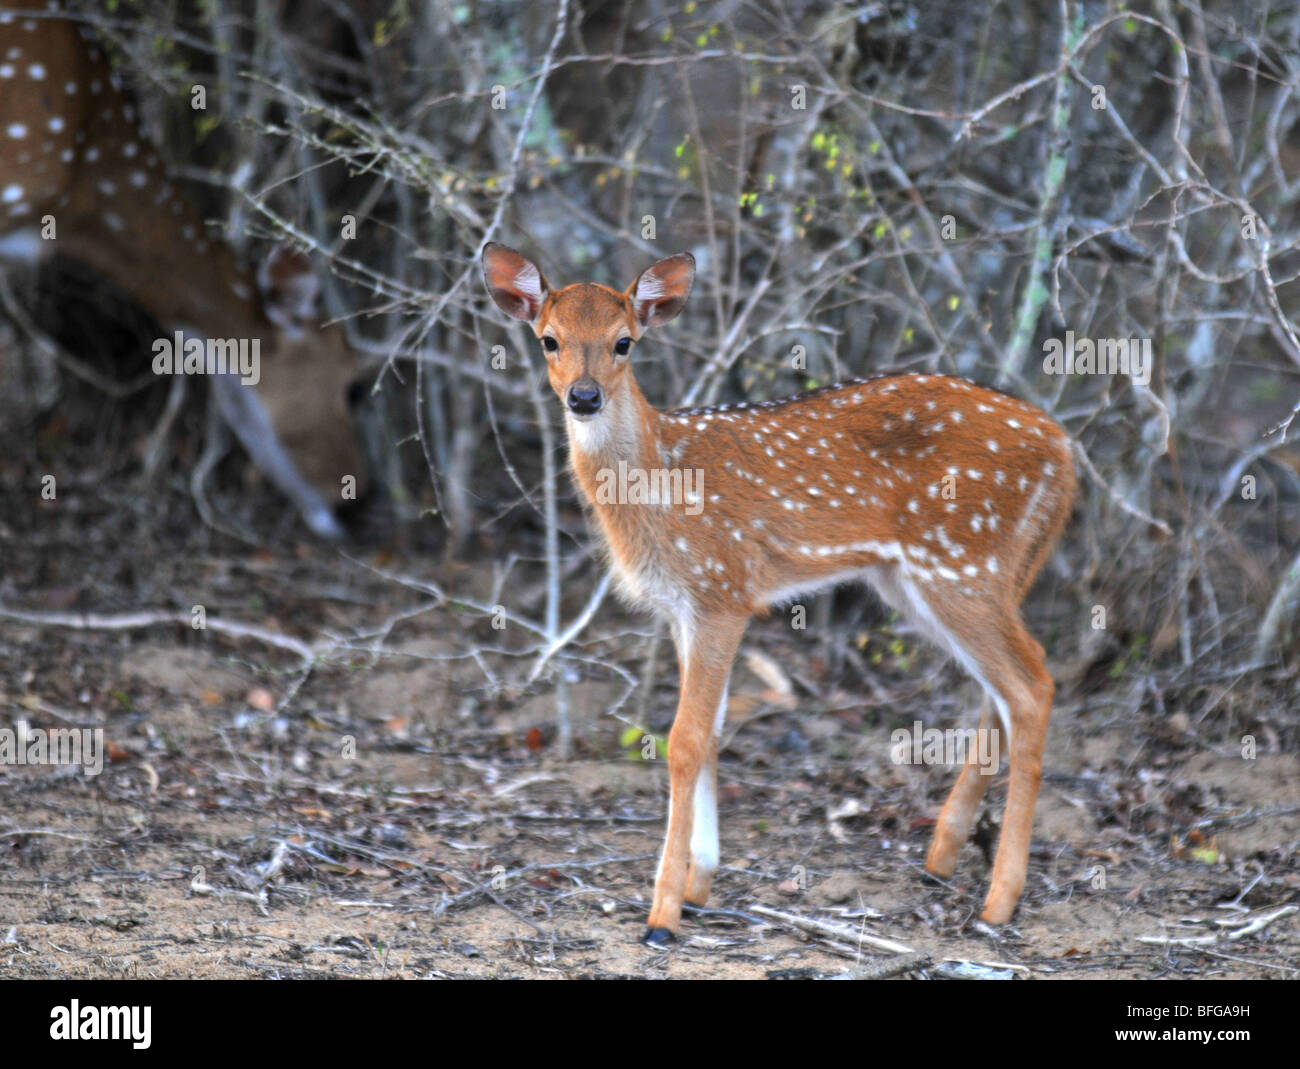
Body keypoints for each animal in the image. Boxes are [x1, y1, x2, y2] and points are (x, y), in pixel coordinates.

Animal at [486, 244, 1076, 946]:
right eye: (548, 340)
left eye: (623, 341)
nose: (584, 396)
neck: (660, 482)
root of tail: (1066, 450)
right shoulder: (685, 609)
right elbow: (712, 732)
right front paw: (699, 885)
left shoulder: (722, 589)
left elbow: (685, 740)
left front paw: (662, 916)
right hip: (927, 579)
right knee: (1002, 691)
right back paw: (939, 862)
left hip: (962, 564)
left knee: (1033, 684)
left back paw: (998, 901)